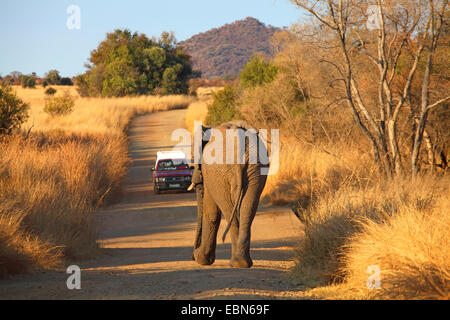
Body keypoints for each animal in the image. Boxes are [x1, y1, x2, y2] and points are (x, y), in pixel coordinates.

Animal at [190, 121, 268, 268]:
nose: (192, 256)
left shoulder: (210, 177)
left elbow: (211, 213)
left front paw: (201, 260)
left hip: (220, 176)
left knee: (228, 210)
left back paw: (236, 263)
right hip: (256, 169)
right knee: (248, 210)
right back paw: (243, 263)